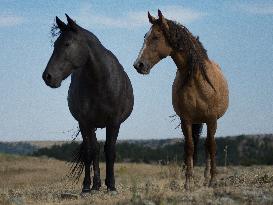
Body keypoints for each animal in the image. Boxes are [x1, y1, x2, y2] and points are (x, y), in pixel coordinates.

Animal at [41, 14, 134, 192]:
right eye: (55, 44)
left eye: (67, 44)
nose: (47, 77)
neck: (101, 82)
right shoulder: (85, 122)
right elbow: (90, 152)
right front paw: (87, 186)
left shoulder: (114, 122)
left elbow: (110, 151)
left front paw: (111, 186)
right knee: (93, 150)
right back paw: (95, 185)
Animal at [133, 9, 227, 189]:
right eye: (145, 36)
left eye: (156, 37)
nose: (138, 65)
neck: (197, 80)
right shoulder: (187, 120)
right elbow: (189, 147)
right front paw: (188, 182)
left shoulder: (212, 119)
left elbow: (212, 146)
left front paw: (213, 180)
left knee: (208, 146)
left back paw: (207, 178)